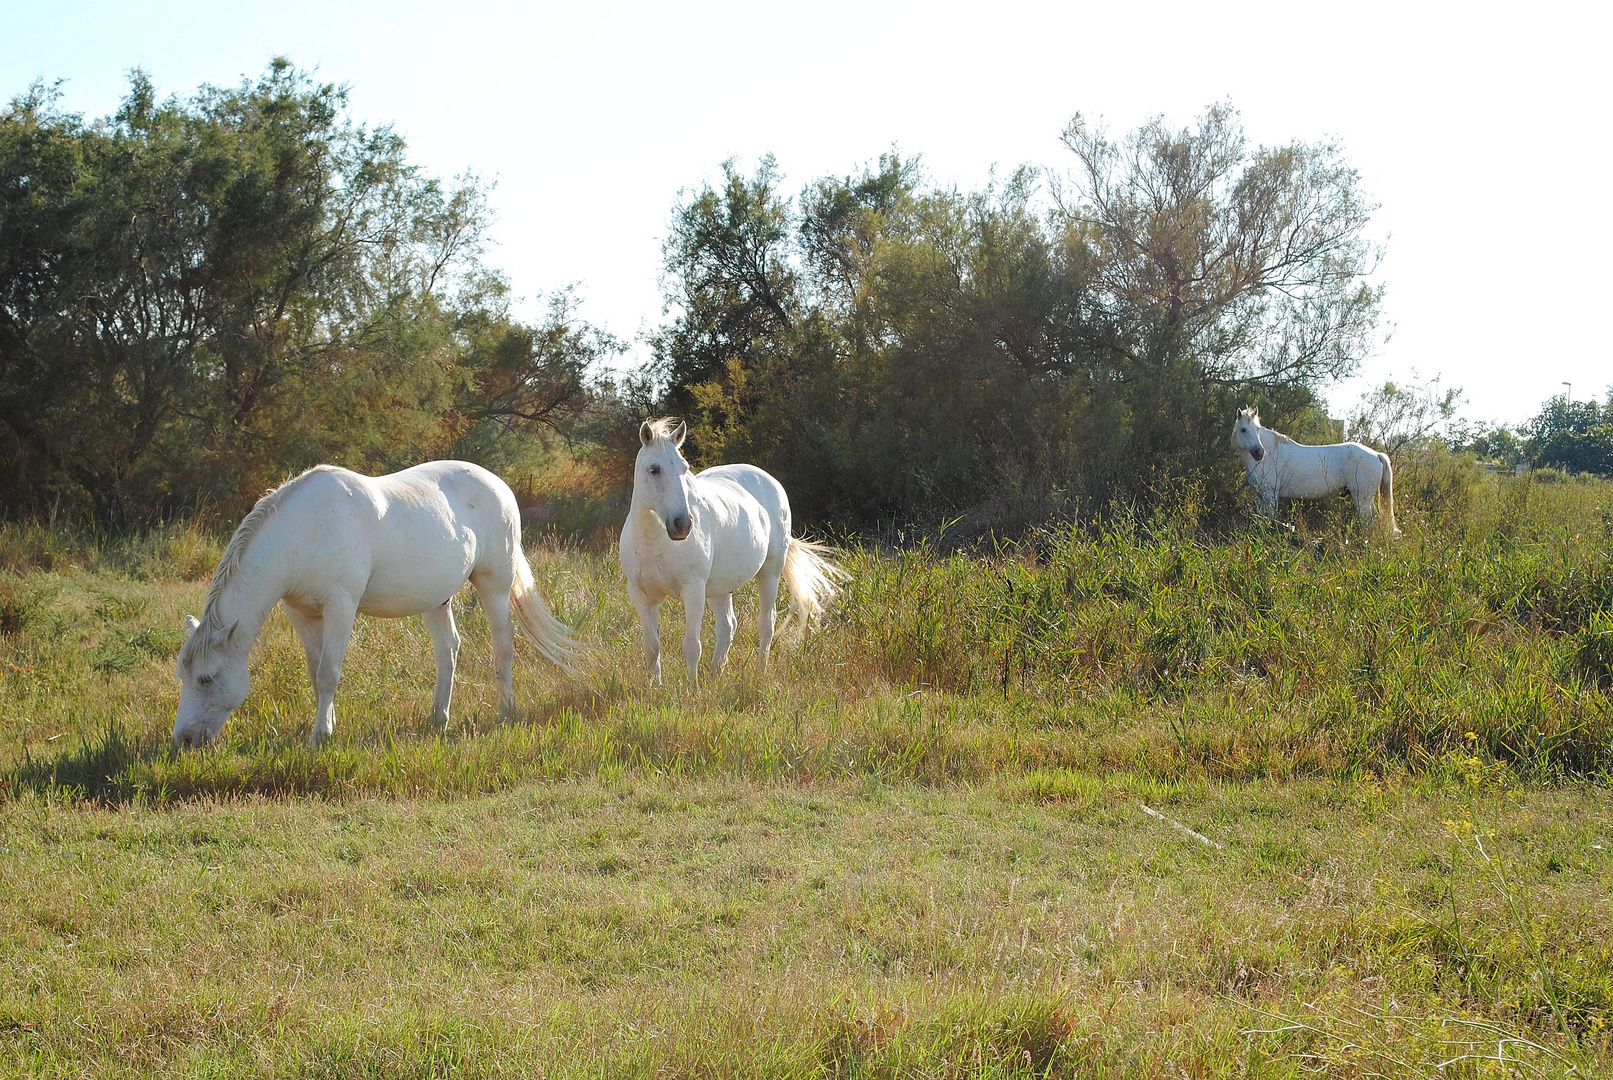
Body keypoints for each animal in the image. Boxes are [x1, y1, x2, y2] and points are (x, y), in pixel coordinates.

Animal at [169, 464, 571, 754]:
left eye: (206, 679)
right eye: (183, 677)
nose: (184, 741)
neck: (303, 532)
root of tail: (499, 485)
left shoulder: (340, 607)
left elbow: (329, 673)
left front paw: (320, 737)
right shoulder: (301, 614)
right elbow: (316, 673)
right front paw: (327, 724)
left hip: (495, 586)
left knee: (503, 647)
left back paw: (506, 712)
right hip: (436, 599)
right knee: (448, 651)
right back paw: (438, 718)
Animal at [616, 422, 845, 686]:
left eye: (685, 468)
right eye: (654, 470)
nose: (682, 525)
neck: (654, 541)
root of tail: (770, 480)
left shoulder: (693, 591)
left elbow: (692, 645)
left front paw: (691, 689)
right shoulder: (640, 594)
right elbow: (652, 646)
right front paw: (657, 687)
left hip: (770, 574)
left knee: (766, 623)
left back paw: (760, 672)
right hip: (720, 588)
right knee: (727, 626)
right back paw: (716, 674)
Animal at [1232, 407, 1400, 535]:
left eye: (1257, 430)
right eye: (1243, 429)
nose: (1259, 452)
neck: (1271, 454)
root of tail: (1376, 454)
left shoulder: (1270, 495)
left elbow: (1270, 519)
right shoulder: (1259, 495)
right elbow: (1261, 518)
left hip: (1362, 499)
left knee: (1368, 521)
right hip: (1366, 499)